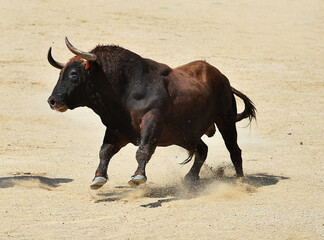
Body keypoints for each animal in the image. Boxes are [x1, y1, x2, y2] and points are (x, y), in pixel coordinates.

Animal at [47, 37, 256, 189]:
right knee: (203, 149)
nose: (52, 101)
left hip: (225, 119)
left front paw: (138, 176)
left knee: (234, 150)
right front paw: (98, 178)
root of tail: (223, 78)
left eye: (74, 74)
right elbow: (105, 151)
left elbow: (143, 150)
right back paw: (190, 178)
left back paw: (240, 181)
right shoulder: (117, 128)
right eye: (60, 74)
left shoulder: (152, 122)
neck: (126, 88)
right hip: (185, 134)